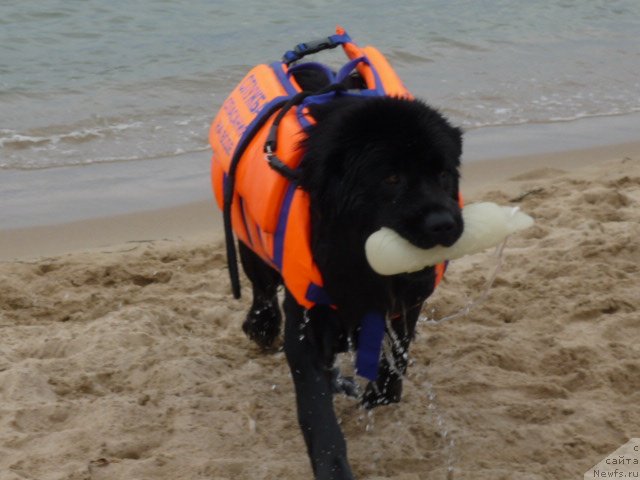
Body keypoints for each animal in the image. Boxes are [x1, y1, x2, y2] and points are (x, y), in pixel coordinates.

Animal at [238, 91, 462, 480]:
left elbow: (392, 370)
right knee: (262, 290)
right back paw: (261, 326)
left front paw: (373, 395)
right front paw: (333, 466)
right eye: (391, 177)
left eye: (443, 173)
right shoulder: (307, 322)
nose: (444, 223)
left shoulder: (403, 305)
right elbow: (317, 411)